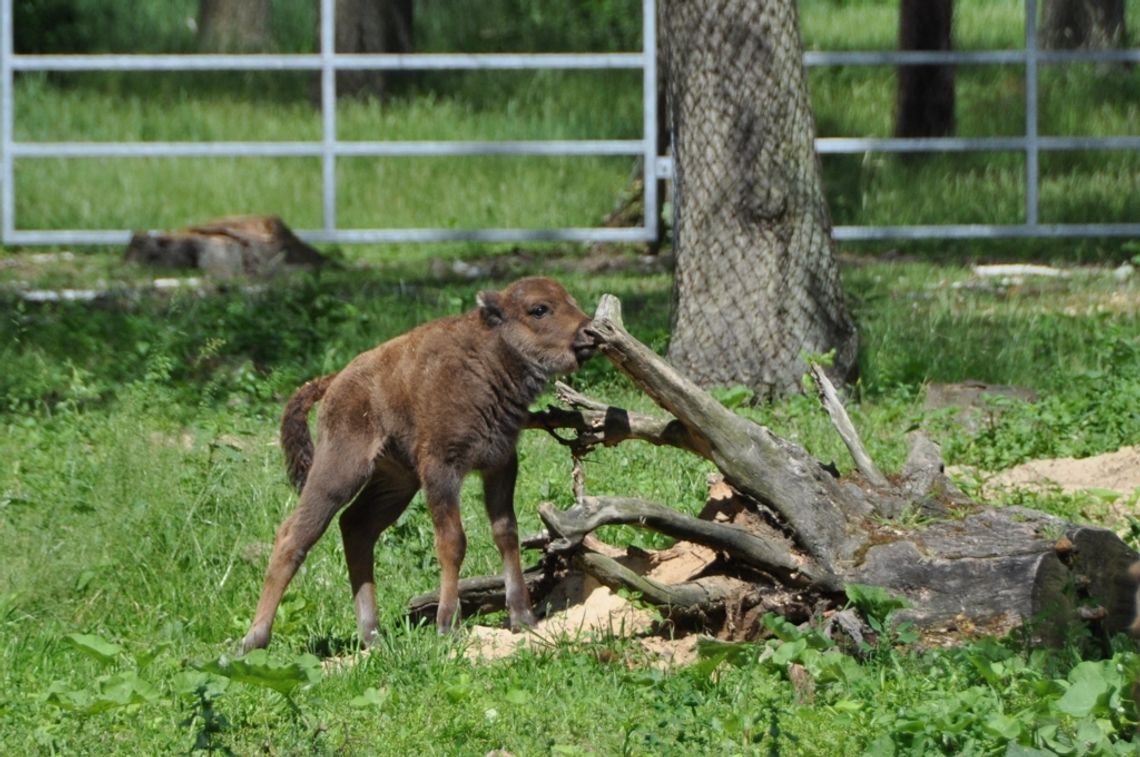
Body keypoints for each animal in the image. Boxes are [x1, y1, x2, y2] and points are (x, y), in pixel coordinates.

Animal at [240, 277, 597, 652]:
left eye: (571, 300)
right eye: (539, 309)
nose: (589, 332)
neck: (487, 355)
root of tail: (334, 380)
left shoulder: (500, 464)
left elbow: (506, 532)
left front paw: (522, 617)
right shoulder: (441, 470)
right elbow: (453, 542)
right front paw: (447, 625)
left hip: (396, 483)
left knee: (356, 527)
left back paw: (372, 635)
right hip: (340, 471)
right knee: (294, 534)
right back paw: (253, 641)